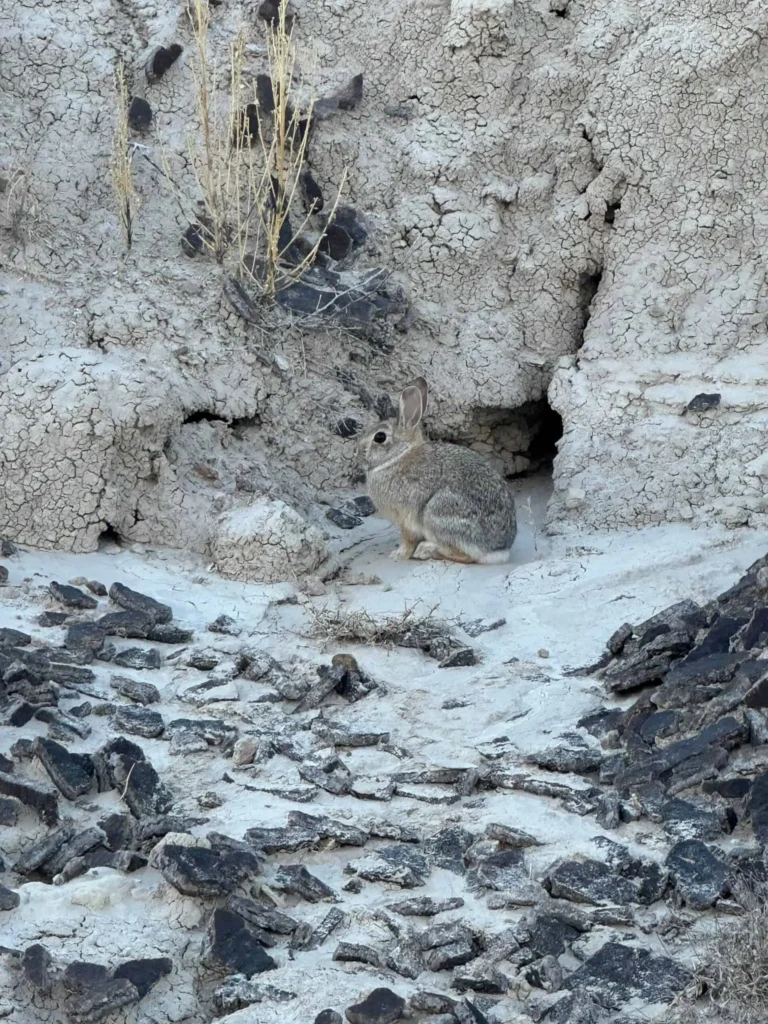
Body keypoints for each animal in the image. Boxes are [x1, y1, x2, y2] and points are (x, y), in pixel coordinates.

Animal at [360, 377, 517, 563]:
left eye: (380, 437)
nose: (358, 452)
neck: (397, 456)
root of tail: (496, 550)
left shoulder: (406, 520)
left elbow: (408, 541)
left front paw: (398, 555)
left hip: (438, 512)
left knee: (465, 556)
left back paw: (427, 550)